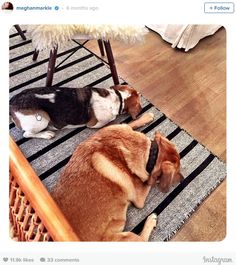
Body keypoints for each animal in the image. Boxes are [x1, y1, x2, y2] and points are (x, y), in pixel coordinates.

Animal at [10, 85, 141, 139]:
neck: (118, 98)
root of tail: (11, 104)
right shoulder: (95, 124)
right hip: (41, 119)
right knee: (27, 134)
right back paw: (46, 134)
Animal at [51, 112, 184, 240]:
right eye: (177, 170)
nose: (182, 179)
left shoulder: (117, 129)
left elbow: (130, 123)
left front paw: (145, 117)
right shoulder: (139, 198)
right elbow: (149, 182)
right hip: (126, 237)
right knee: (142, 239)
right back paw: (151, 220)